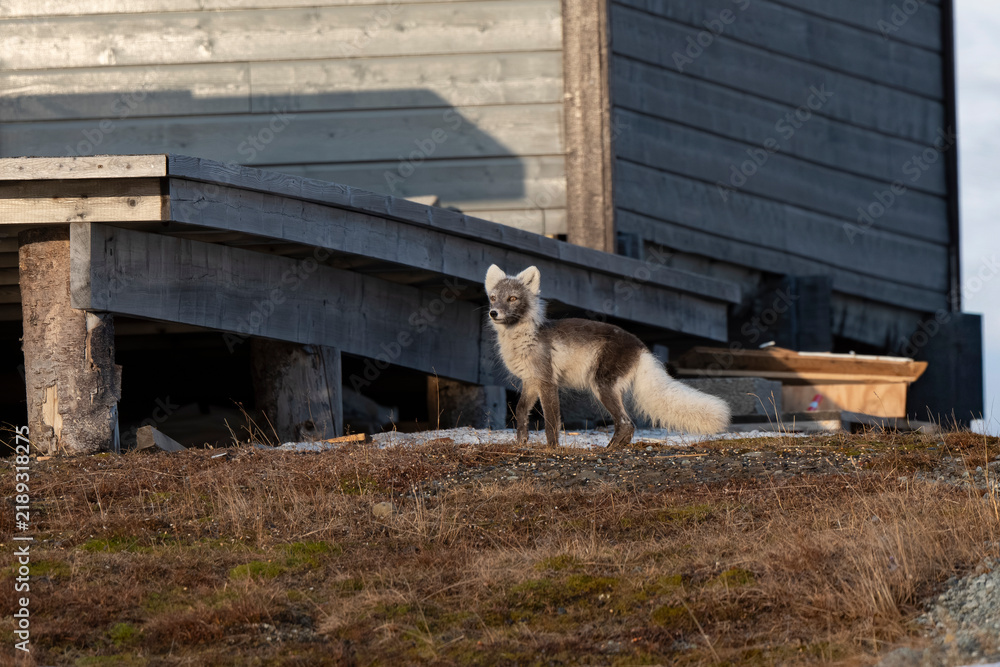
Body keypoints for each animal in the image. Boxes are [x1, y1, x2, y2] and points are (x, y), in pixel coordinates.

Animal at [485, 265, 730, 449]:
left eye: (513, 298)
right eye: (493, 297)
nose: (493, 313)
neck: (524, 338)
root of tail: (641, 346)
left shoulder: (547, 382)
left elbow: (552, 421)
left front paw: (552, 449)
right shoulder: (531, 381)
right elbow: (520, 412)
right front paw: (521, 443)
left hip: (601, 386)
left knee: (626, 423)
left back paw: (608, 450)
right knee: (628, 425)